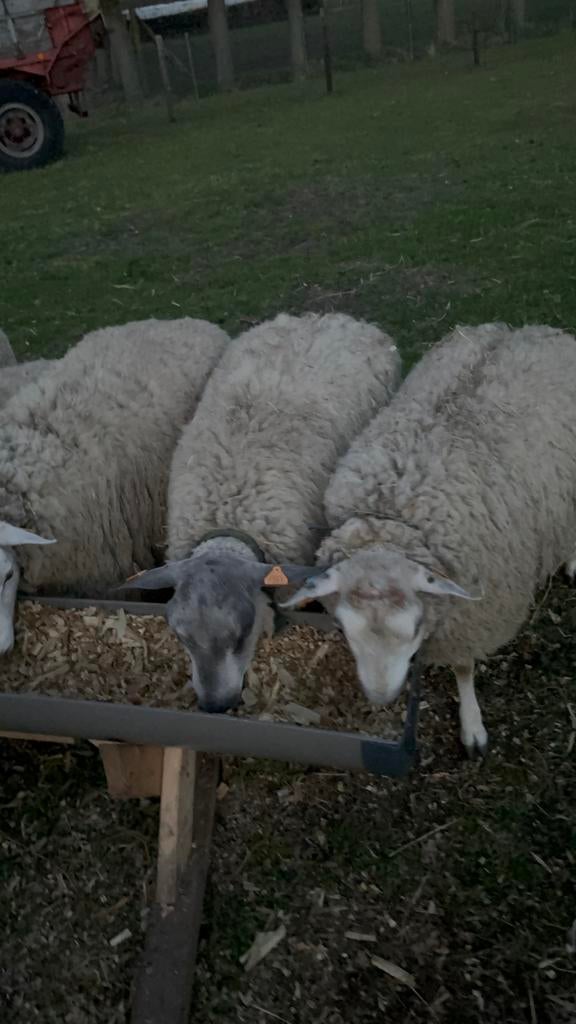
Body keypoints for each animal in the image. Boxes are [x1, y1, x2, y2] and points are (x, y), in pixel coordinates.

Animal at [282, 324, 576, 756]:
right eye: (345, 629)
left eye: (414, 626)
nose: (381, 697)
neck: (396, 511)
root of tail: (534, 330)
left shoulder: (472, 616)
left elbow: (464, 667)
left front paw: (472, 726)